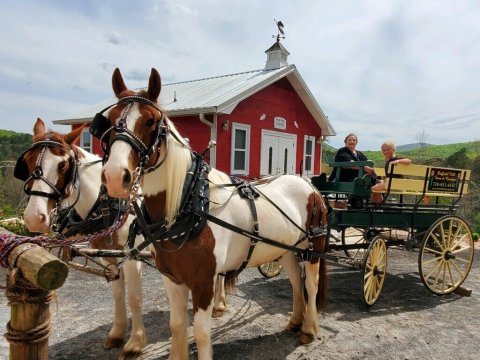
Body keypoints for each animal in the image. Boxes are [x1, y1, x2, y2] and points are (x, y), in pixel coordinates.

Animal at [99, 68, 328, 360]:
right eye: (110, 120)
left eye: (150, 121)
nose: (115, 176)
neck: (189, 206)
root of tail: (309, 184)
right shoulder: (171, 278)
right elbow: (177, 325)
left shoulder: (204, 282)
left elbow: (200, 332)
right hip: (286, 249)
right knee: (296, 282)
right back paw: (295, 321)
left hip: (313, 248)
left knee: (311, 284)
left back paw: (309, 329)